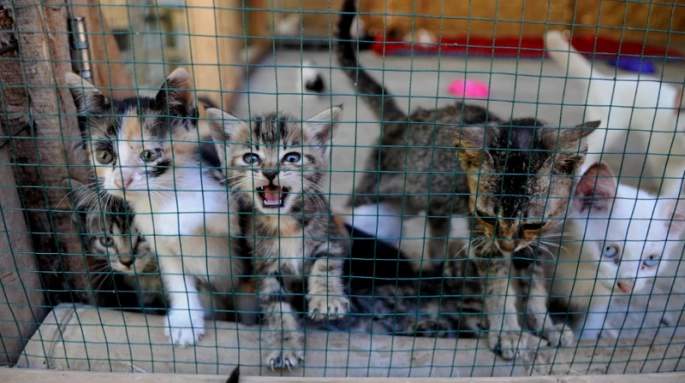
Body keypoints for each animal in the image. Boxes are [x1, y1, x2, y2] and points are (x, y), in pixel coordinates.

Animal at [65, 69, 247, 348]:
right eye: (104, 156)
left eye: (149, 155)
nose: (122, 180)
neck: (165, 200)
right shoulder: (160, 243)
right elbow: (177, 278)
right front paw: (185, 321)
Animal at [207, 106, 348, 372]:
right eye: (251, 158)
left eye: (292, 158)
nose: (270, 173)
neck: (283, 224)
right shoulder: (264, 267)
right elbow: (276, 308)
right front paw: (284, 346)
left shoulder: (330, 236)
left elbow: (326, 263)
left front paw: (327, 299)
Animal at [336, 0, 600, 362]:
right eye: (486, 216)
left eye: (532, 224)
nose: (506, 246)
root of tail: (405, 120)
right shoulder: (483, 241)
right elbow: (499, 288)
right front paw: (508, 332)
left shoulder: (534, 243)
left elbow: (534, 287)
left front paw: (544, 325)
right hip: (377, 188)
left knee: (437, 224)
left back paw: (438, 263)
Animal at [552, 164, 684, 340]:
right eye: (609, 250)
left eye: (651, 259)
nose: (626, 286)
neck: (582, 273)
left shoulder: (600, 300)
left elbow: (589, 327)